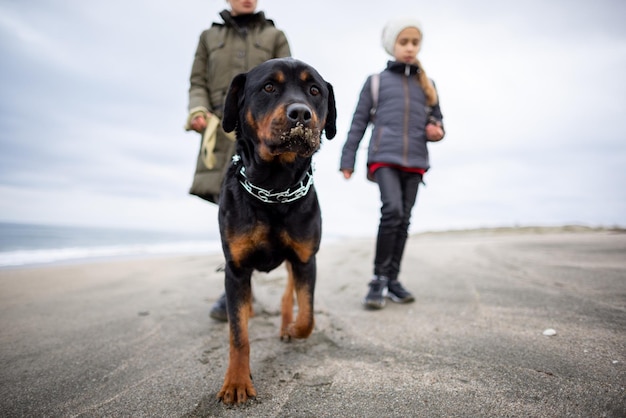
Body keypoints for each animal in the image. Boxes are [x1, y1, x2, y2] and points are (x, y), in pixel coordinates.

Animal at [214, 58, 334, 404]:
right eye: (268, 87)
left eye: (314, 91)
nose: (301, 113)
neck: (274, 189)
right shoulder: (236, 268)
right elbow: (238, 335)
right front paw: (237, 382)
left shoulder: (306, 258)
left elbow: (307, 316)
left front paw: (293, 329)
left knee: (289, 295)